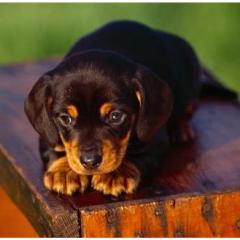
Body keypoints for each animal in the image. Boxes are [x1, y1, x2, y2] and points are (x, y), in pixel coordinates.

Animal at [24, 20, 204, 197]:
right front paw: (64, 172)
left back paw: (180, 129)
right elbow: (53, 147)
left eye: (115, 116)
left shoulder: (154, 136)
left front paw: (116, 174)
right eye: (65, 118)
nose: (90, 162)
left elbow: (138, 153)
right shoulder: (47, 131)